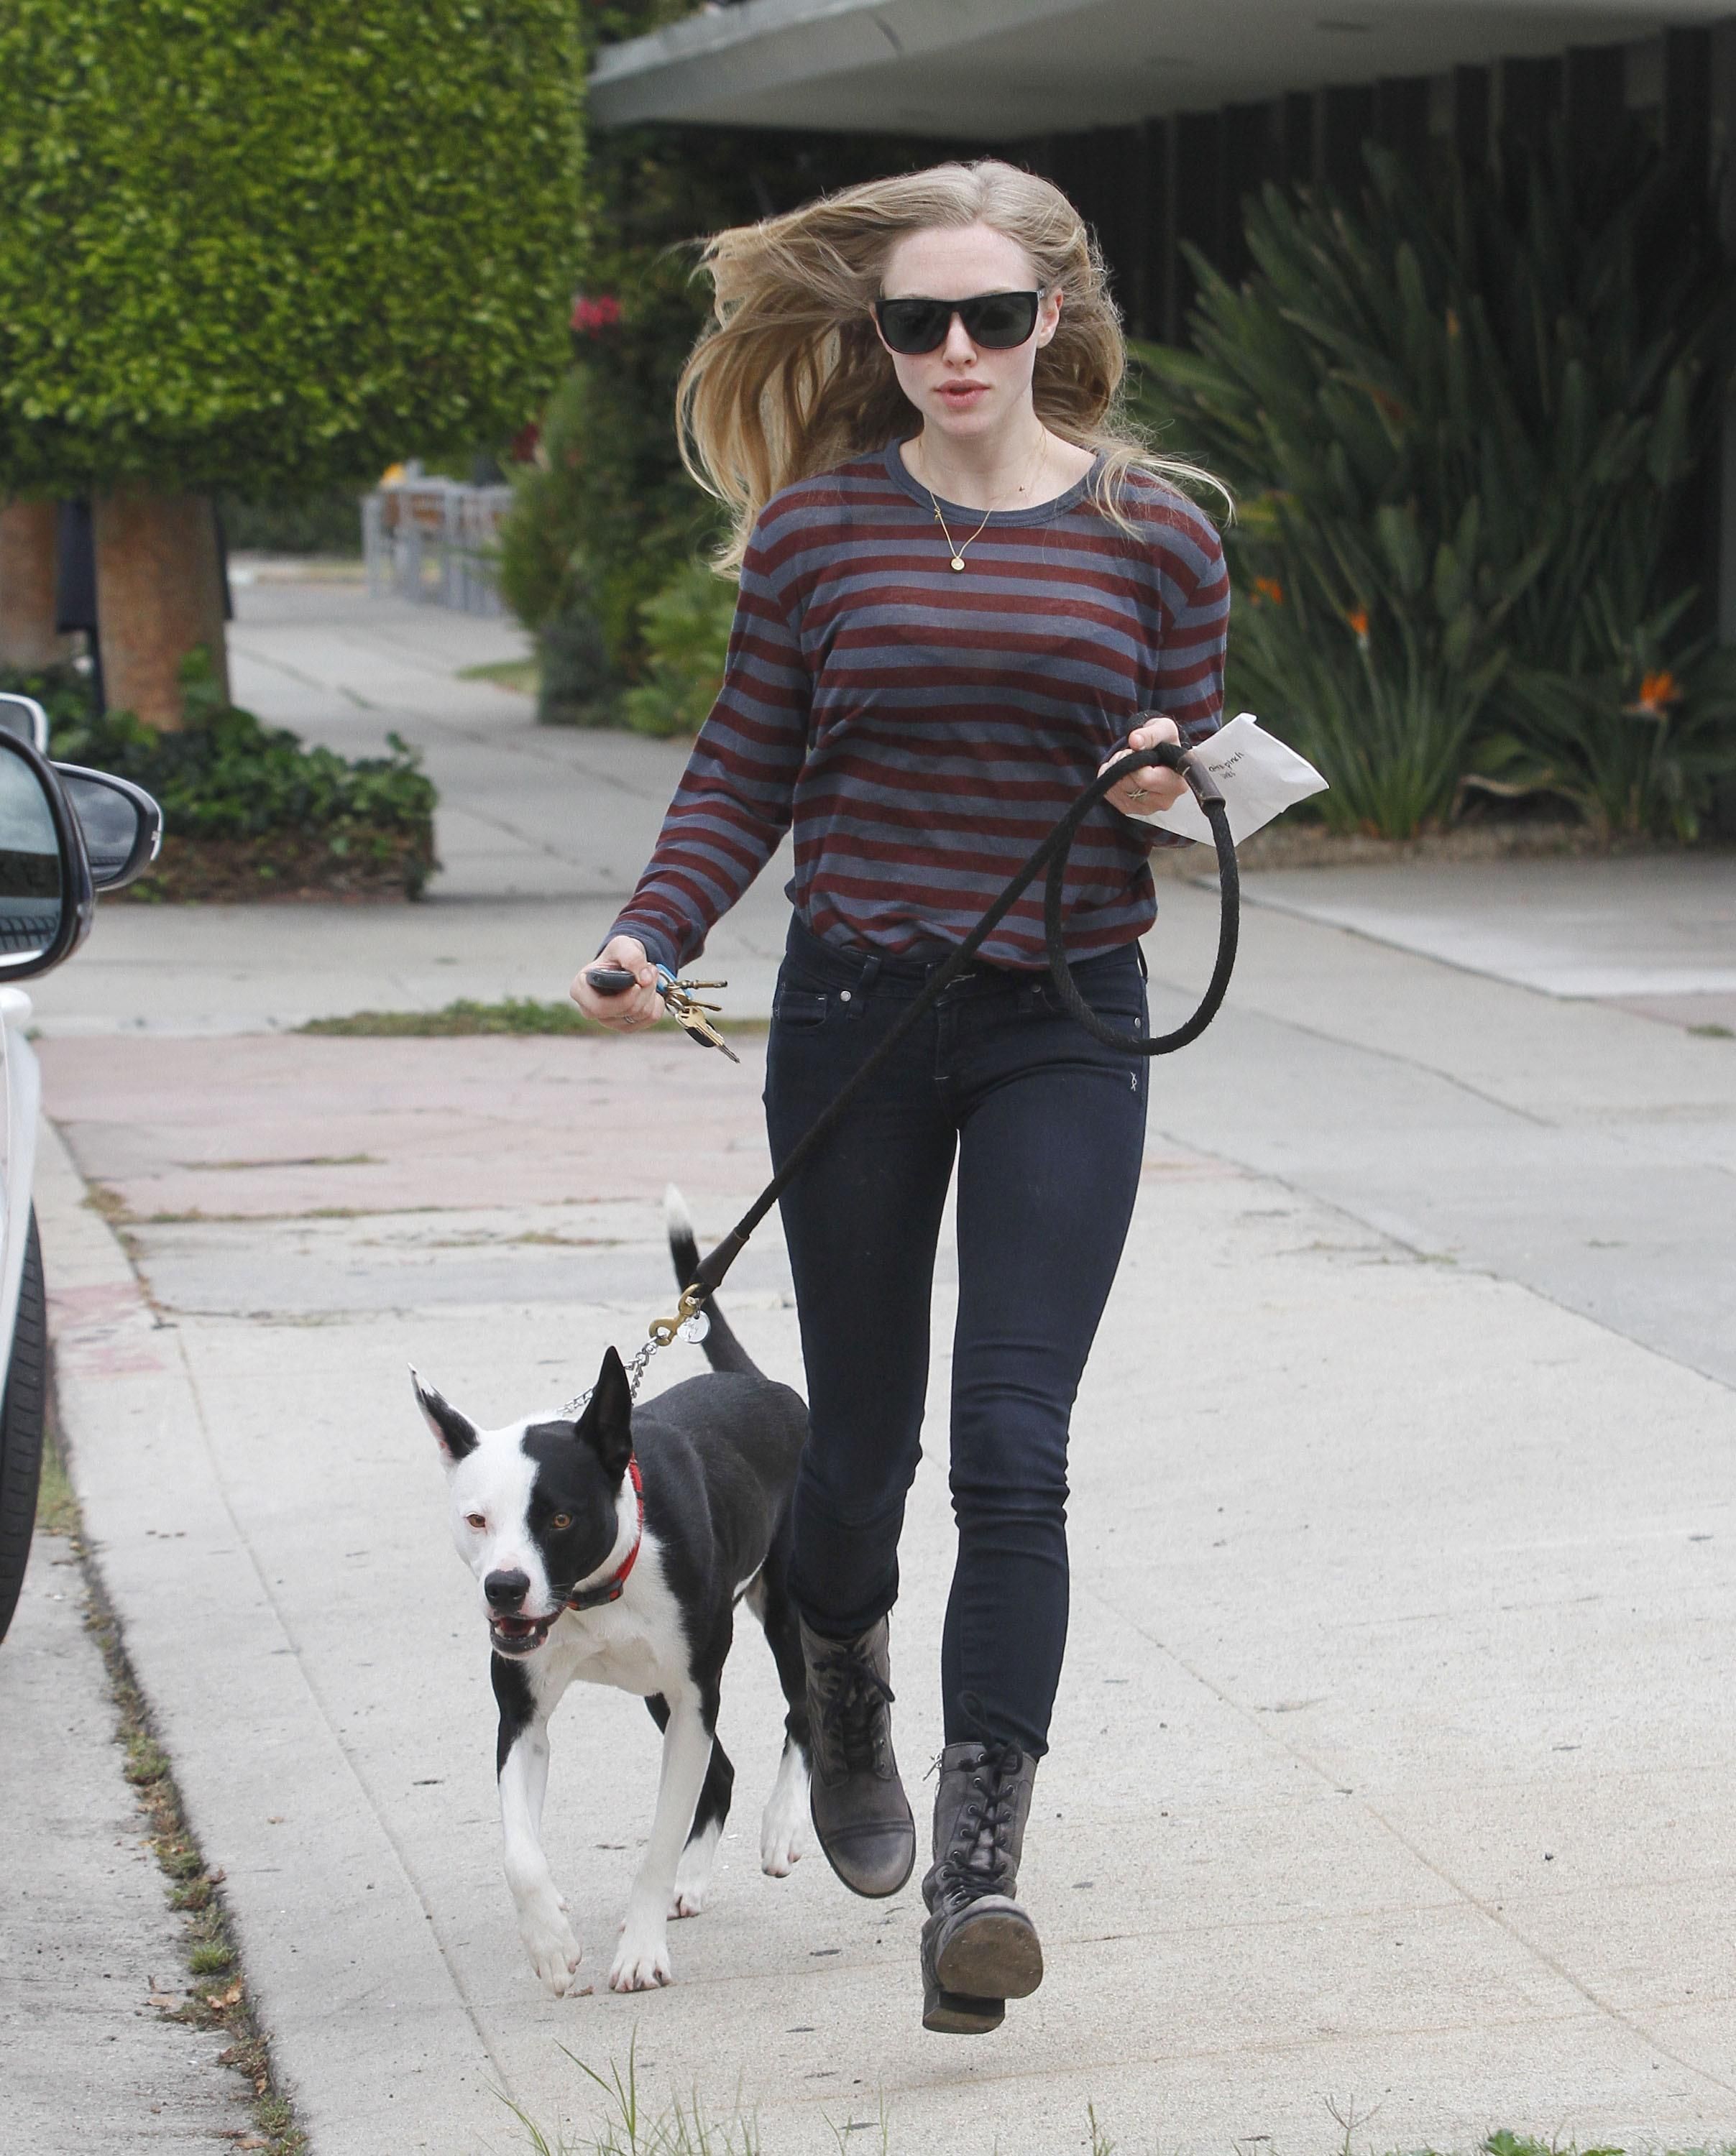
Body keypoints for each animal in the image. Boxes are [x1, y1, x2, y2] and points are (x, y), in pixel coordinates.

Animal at [412, 1189, 812, 1995]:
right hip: (661, 1689)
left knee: (806, 1705)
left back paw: (783, 1822)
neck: (594, 1593)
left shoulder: (694, 1699)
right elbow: (519, 1852)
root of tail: (760, 1382)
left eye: (560, 1517)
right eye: (476, 1518)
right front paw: (550, 1941)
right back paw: (693, 1881)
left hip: (783, 1609)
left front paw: (640, 1951)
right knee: (720, 1774)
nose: (505, 1588)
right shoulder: (524, 1716)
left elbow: (654, 1847)